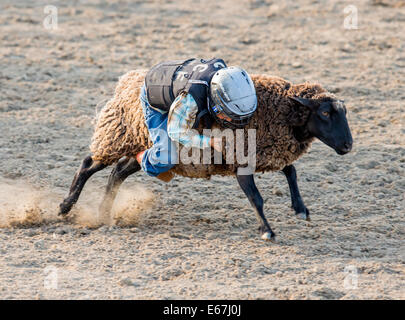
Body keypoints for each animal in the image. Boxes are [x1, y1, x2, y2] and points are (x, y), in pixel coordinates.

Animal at [58, 69, 352, 240]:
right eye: (325, 113)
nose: (348, 146)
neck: (281, 111)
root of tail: (127, 81)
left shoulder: (268, 153)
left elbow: (291, 171)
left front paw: (300, 209)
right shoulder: (243, 163)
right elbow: (256, 198)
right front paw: (267, 231)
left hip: (140, 143)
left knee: (119, 172)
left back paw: (104, 213)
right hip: (117, 136)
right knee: (88, 164)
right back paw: (65, 206)